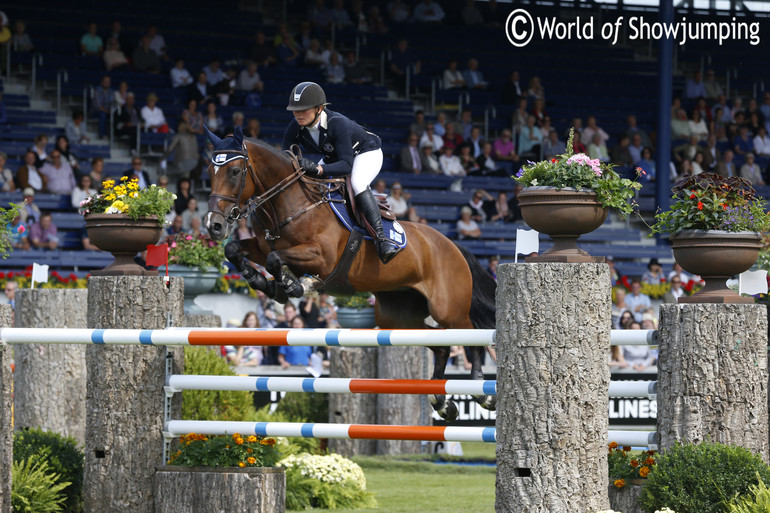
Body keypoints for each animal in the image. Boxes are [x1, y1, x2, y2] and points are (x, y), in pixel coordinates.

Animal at [201, 126, 496, 418]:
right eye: (210, 172)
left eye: (235, 171)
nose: (214, 226)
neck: (289, 205)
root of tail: (453, 246)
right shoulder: (263, 248)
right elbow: (236, 250)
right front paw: (265, 283)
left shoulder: (323, 258)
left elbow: (276, 260)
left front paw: (295, 285)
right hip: (397, 317)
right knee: (443, 345)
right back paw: (442, 402)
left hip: (447, 309)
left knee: (472, 337)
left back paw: (482, 391)